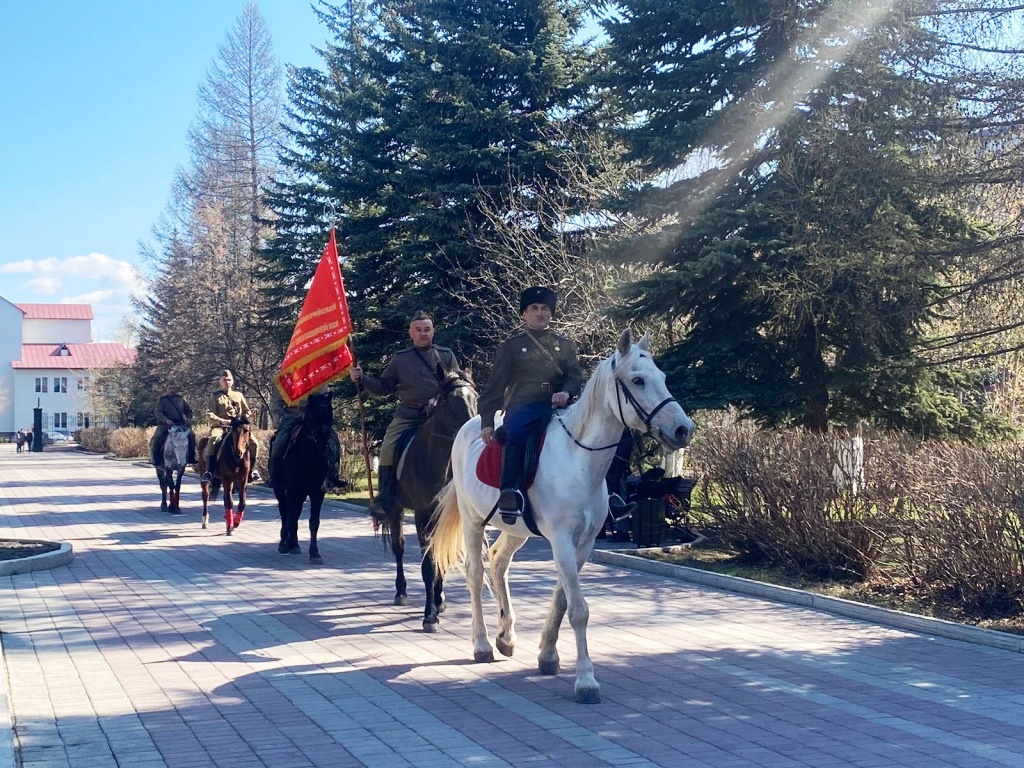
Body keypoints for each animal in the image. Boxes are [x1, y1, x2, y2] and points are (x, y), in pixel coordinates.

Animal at [274, 391, 333, 565]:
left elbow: (314, 522)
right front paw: (288, 543)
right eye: (312, 415)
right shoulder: (293, 490)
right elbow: (291, 516)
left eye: (330, 413)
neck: (311, 458)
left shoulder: (318, 492)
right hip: (281, 490)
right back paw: (285, 541)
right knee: (286, 512)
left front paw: (315, 553)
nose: (323, 440)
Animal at [376, 366, 475, 630]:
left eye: (475, 397)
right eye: (450, 401)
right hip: (396, 509)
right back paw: (401, 591)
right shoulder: (423, 515)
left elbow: (440, 556)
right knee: (399, 548)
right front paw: (429, 615)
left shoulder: (445, 516)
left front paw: (439, 601)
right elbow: (428, 564)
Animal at [432, 329, 696, 704]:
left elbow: (561, 601)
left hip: (517, 530)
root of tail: (470, 427)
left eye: (662, 377)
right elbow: (579, 609)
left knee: (498, 563)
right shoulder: (561, 541)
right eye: (638, 380)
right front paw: (586, 680)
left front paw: (548, 655)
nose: (683, 430)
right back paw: (482, 644)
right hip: (472, 521)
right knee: (475, 573)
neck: (579, 460)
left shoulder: (582, 544)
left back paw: (506, 636)